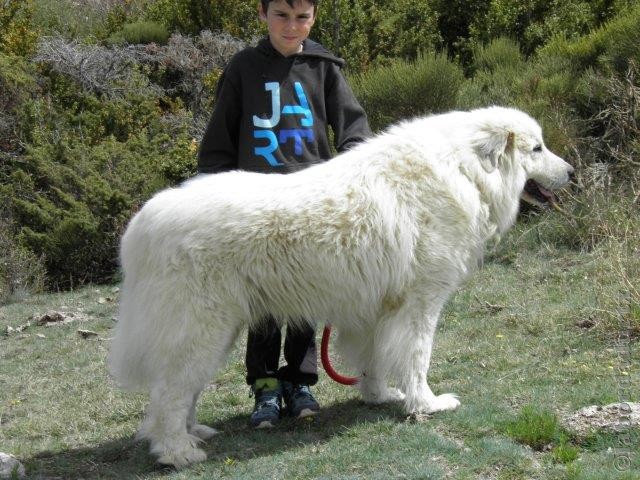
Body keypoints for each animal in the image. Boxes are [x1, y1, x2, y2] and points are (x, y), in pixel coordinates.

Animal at [110, 107, 576, 466]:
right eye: (537, 149)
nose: (572, 172)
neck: (466, 172)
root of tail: (140, 227)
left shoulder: (376, 311)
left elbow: (374, 359)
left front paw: (380, 395)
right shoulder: (420, 305)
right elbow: (417, 359)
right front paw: (426, 404)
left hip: (213, 334)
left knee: (180, 392)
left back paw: (194, 434)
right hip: (201, 330)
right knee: (169, 394)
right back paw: (177, 452)